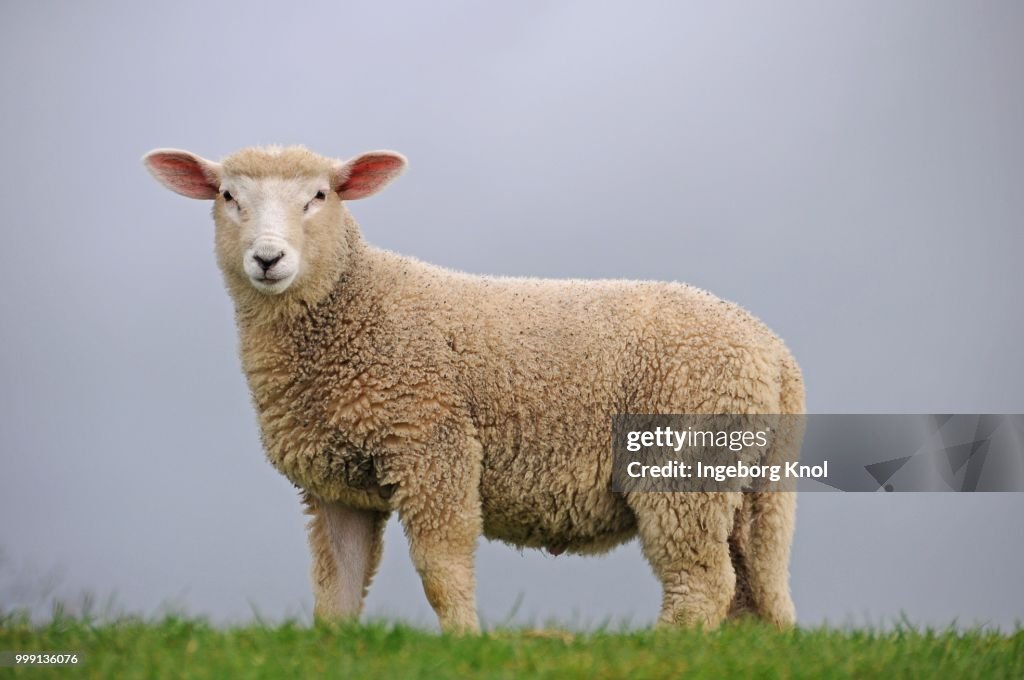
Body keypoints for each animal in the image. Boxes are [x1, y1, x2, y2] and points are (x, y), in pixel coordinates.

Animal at [140, 143, 802, 630]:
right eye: (228, 196)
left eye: (319, 196)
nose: (268, 259)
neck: (356, 307)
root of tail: (772, 350)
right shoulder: (337, 485)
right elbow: (337, 588)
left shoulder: (433, 445)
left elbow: (442, 568)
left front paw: (464, 642)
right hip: (757, 488)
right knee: (757, 587)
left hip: (684, 463)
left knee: (702, 584)